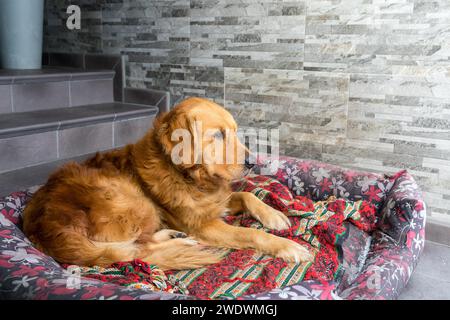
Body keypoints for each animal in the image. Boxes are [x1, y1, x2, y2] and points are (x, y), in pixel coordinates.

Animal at [23, 97, 312, 270]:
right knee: (138, 249)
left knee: (138, 245)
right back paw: (183, 243)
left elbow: (248, 196)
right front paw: (289, 247)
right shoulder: (203, 225)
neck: (191, 178)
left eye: (234, 132)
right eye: (218, 135)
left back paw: (174, 236)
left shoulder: (217, 202)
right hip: (136, 203)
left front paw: (274, 215)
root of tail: (44, 227)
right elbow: (251, 233)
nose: (254, 162)